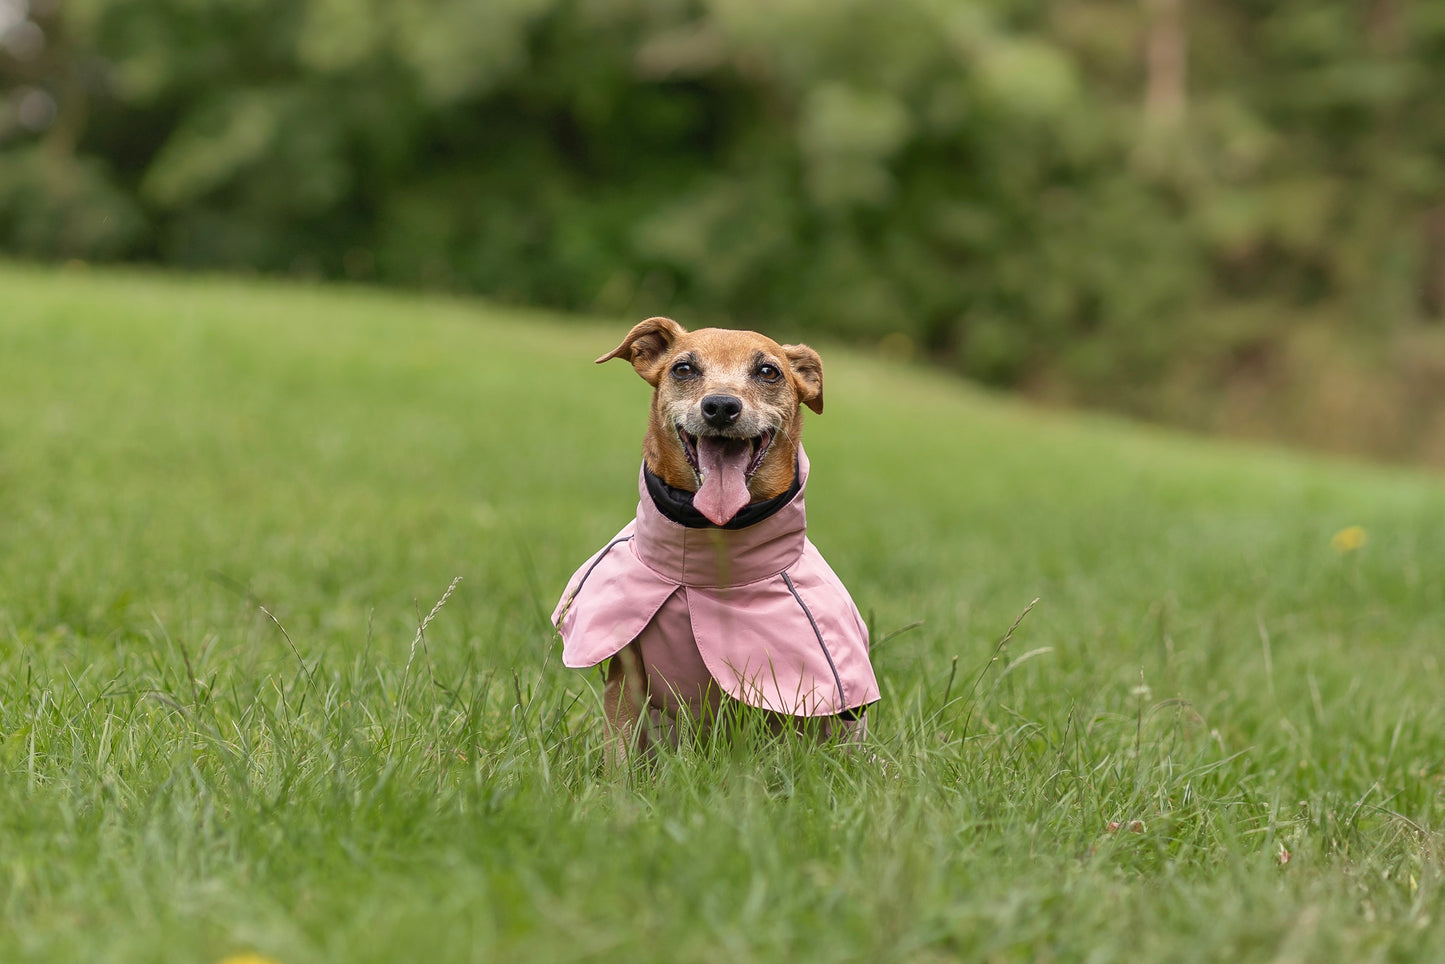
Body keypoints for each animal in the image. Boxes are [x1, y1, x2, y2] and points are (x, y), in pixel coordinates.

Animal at [551, 320, 872, 763]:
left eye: (768, 371)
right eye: (683, 368)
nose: (720, 406)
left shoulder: (772, 701)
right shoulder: (626, 680)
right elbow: (620, 757)